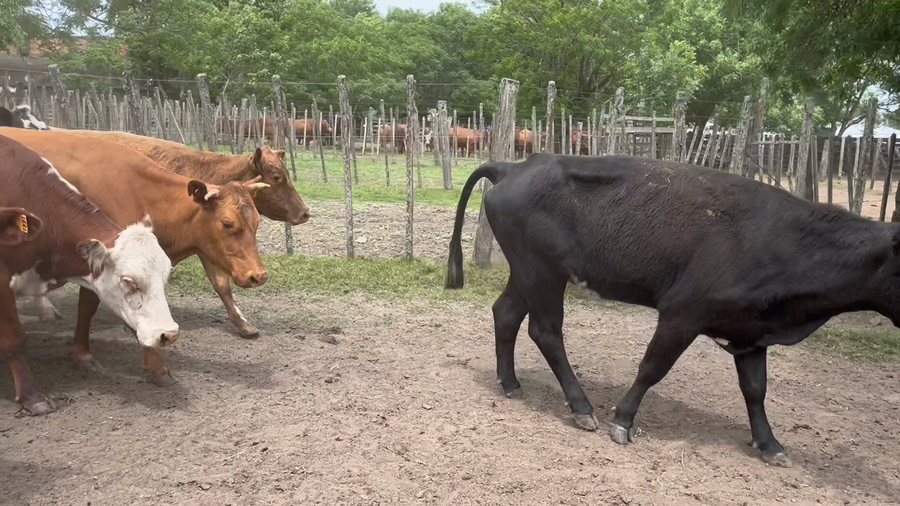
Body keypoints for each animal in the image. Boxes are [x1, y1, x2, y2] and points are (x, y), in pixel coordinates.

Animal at [0, 134, 179, 414]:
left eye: (165, 276)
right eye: (128, 280)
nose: (169, 334)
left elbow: (86, 311)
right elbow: (13, 338)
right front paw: (32, 396)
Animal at [1, 128, 268, 383]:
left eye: (257, 222)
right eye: (227, 224)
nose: (259, 276)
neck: (138, 191)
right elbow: (95, 307)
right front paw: (153, 365)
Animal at [446, 153, 900, 467]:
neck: (784, 239)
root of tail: (514, 166)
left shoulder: (751, 332)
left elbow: (755, 390)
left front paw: (770, 445)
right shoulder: (682, 313)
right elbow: (653, 367)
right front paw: (623, 421)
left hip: (530, 273)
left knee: (506, 314)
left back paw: (510, 383)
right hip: (542, 274)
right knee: (546, 331)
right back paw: (581, 408)